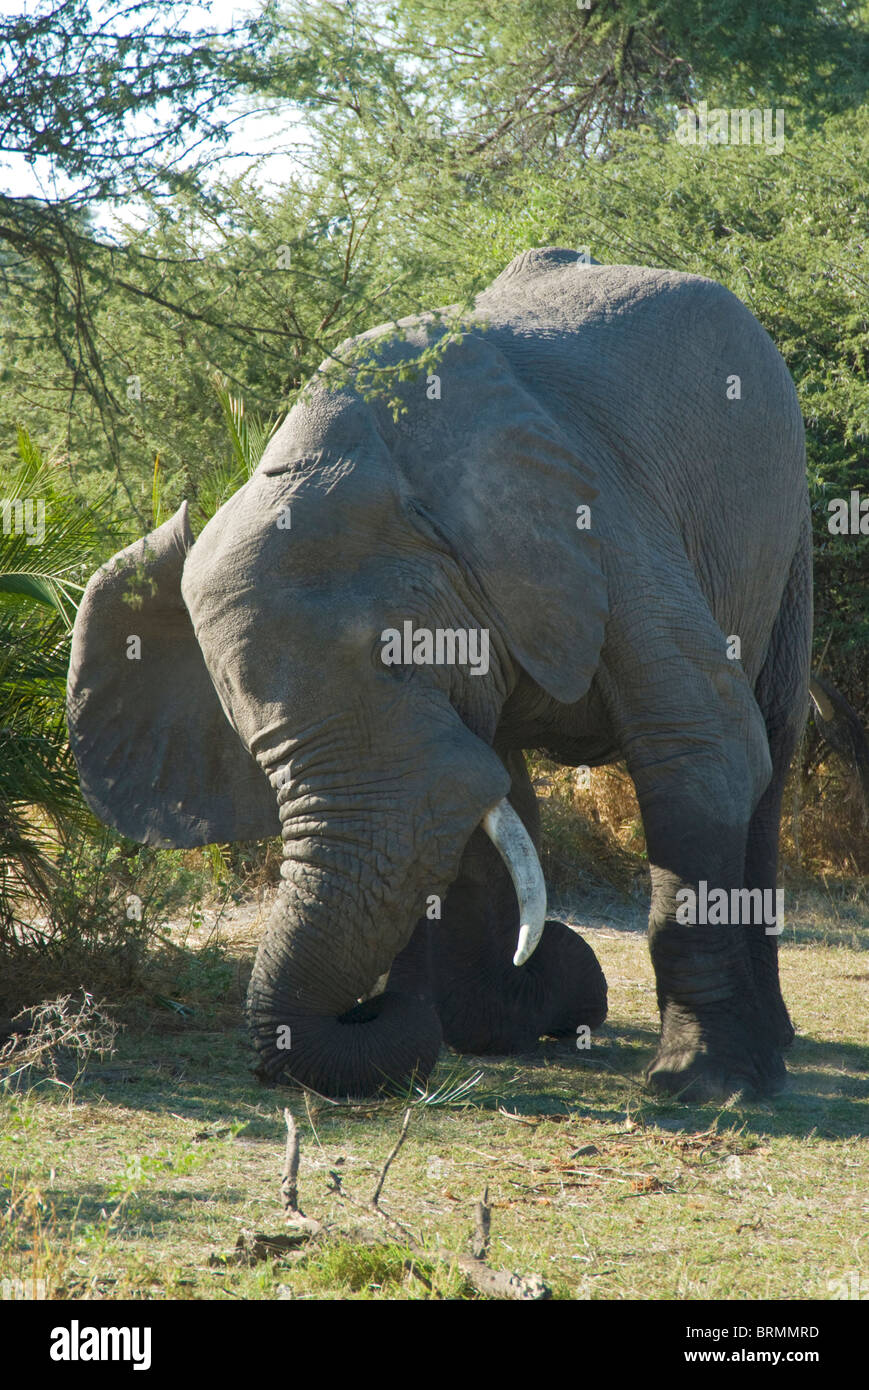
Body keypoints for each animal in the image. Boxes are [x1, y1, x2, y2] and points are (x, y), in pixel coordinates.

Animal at [64, 244, 811, 1100]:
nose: (371, 1005)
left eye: (400, 658)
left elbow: (700, 751)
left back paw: (769, 1046)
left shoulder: (609, 524)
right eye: (247, 740)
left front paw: (699, 1086)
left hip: (786, 527)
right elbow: (488, 811)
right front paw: (522, 1007)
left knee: (768, 747)